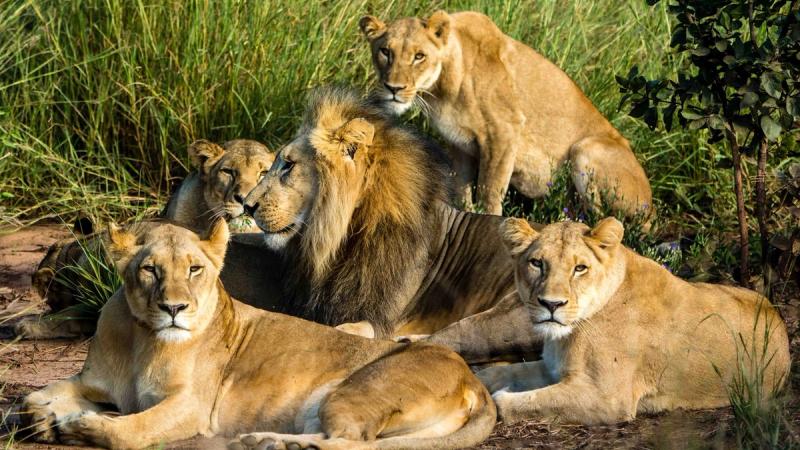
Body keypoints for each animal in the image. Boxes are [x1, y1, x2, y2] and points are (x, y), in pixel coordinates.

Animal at [18, 139, 276, 339]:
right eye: (228, 172)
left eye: (264, 174)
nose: (247, 199)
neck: (79, 253)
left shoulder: (100, 304)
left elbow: (67, 317)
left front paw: (27, 324)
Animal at [21, 221, 496, 450]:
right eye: (150, 269)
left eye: (195, 269)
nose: (174, 309)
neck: (143, 340)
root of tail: (473, 379)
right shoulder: (93, 382)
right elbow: (40, 395)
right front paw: (41, 415)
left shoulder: (194, 407)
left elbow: (132, 430)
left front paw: (81, 427)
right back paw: (266, 443)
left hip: (357, 391)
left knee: (353, 442)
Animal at [359, 11, 652, 217]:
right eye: (385, 51)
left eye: (419, 56)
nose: (393, 88)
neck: (442, 88)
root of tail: (651, 205)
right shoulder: (459, 144)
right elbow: (462, 188)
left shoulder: (504, 132)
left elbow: (489, 191)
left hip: (586, 149)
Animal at [475, 217, 791, 425]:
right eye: (537, 263)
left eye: (580, 268)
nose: (552, 304)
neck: (569, 335)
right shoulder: (554, 369)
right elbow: (507, 371)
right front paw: (481, 377)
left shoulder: (607, 399)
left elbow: (524, 401)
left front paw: (495, 400)